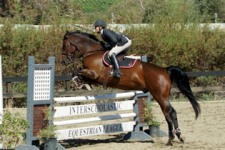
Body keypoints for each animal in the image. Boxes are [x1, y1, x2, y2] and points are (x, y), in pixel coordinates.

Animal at [61, 30, 200, 145]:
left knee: (170, 112)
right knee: (170, 113)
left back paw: (172, 139)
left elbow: (76, 72)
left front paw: (77, 81)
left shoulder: (94, 74)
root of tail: (165, 70)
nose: (63, 61)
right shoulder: (93, 77)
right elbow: (79, 75)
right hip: (161, 96)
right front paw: (80, 83)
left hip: (160, 95)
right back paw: (178, 137)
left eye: (64, 45)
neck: (92, 52)